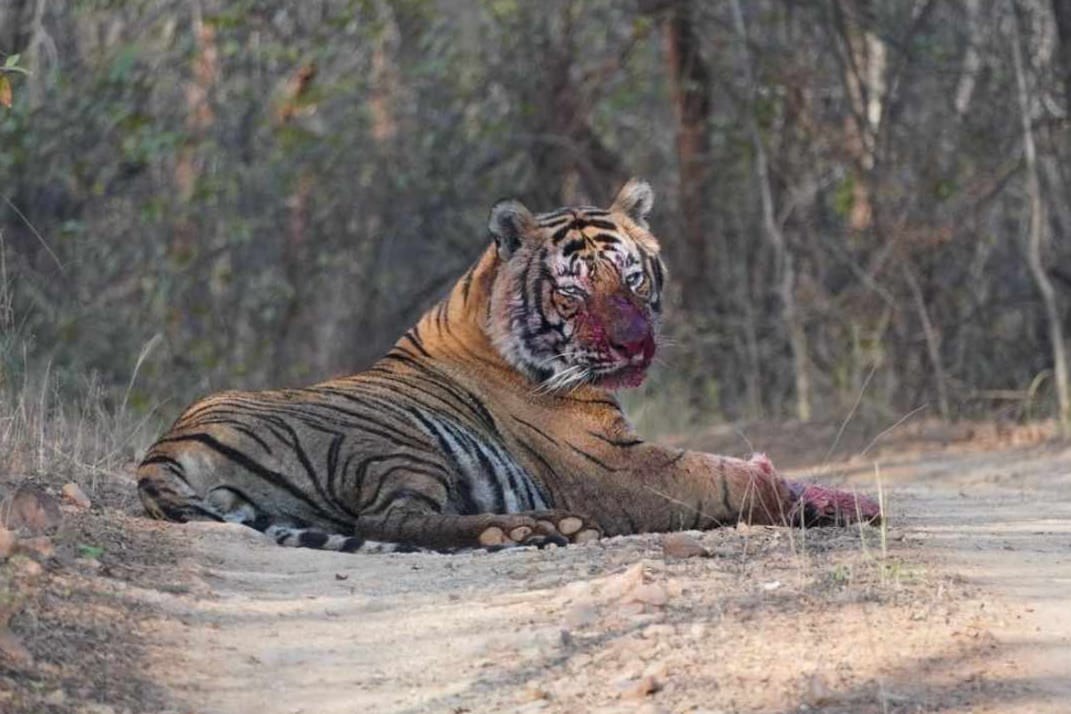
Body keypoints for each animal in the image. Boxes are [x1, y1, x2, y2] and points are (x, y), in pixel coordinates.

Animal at [137, 179, 880, 552]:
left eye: (633, 278)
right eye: (573, 291)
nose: (634, 347)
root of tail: (161, 453)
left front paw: (845, 501)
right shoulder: (614, 467)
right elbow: (723, 477)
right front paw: (807, 497)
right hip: (393, 441)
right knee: (389, 521)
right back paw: (530, 528)